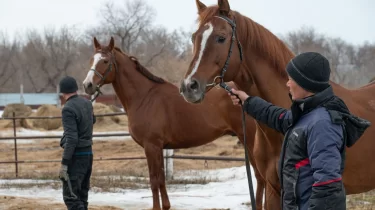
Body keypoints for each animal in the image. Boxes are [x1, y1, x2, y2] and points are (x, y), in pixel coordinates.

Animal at [82, 37, 264, 209]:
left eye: (105, 61)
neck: (145, 96)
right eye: (91, 60)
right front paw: (166, 206)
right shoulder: (159, 147)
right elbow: (161, 179)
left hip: (250, 140)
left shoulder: (151, 146)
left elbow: (154, 179)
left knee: (260, 176)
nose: (87, 85)